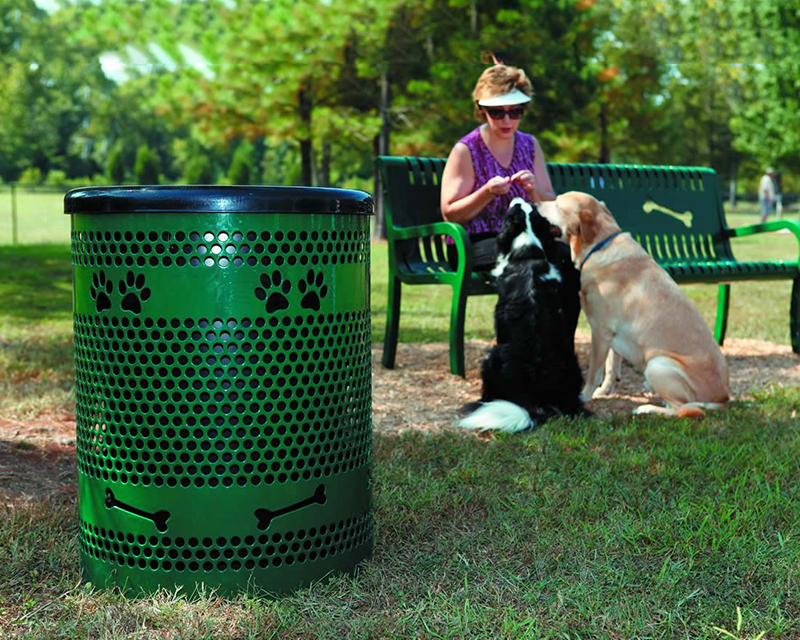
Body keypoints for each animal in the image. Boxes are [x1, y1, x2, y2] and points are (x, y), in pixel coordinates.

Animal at [456, 198, 588, 432]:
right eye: (532, 211)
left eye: (512, 210)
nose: (519, 198)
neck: (527, 253)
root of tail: (538, 403)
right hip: (572, 360)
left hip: (492, 357)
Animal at [536, 190, 732, 420]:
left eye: (557, 204)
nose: (535, 203)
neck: (599, 247)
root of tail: (723, 398)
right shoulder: (613, 335)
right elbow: (611, 367)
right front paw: (604, 391)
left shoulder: (600, 330)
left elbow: (594, 371)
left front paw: (585, 395)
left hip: (658, 364)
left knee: (683, 408)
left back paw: (646, 408)